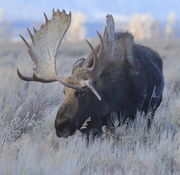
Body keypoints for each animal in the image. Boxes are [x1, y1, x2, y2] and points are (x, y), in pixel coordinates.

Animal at [17, 9, 165, 138]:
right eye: (64, 92)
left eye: (82, 93)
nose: (60, 127)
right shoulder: (95, 122)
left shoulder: (131, 114)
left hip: (152, 109)